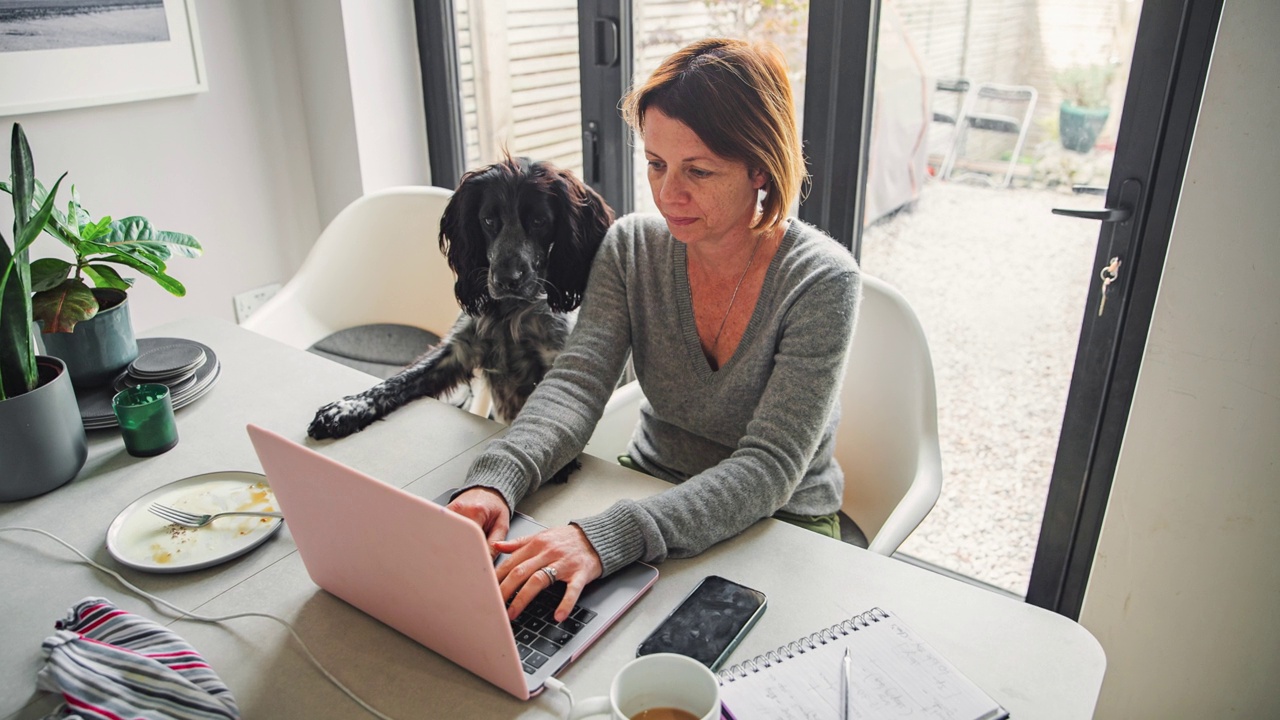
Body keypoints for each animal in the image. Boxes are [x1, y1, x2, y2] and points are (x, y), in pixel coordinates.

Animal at [307, 156, 611, 438]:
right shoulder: (460, 348)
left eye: (539, 221)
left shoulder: (554, 357)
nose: (506, 280)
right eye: (488, 220)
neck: (510, 311)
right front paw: (346, 408)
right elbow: (399, 379)